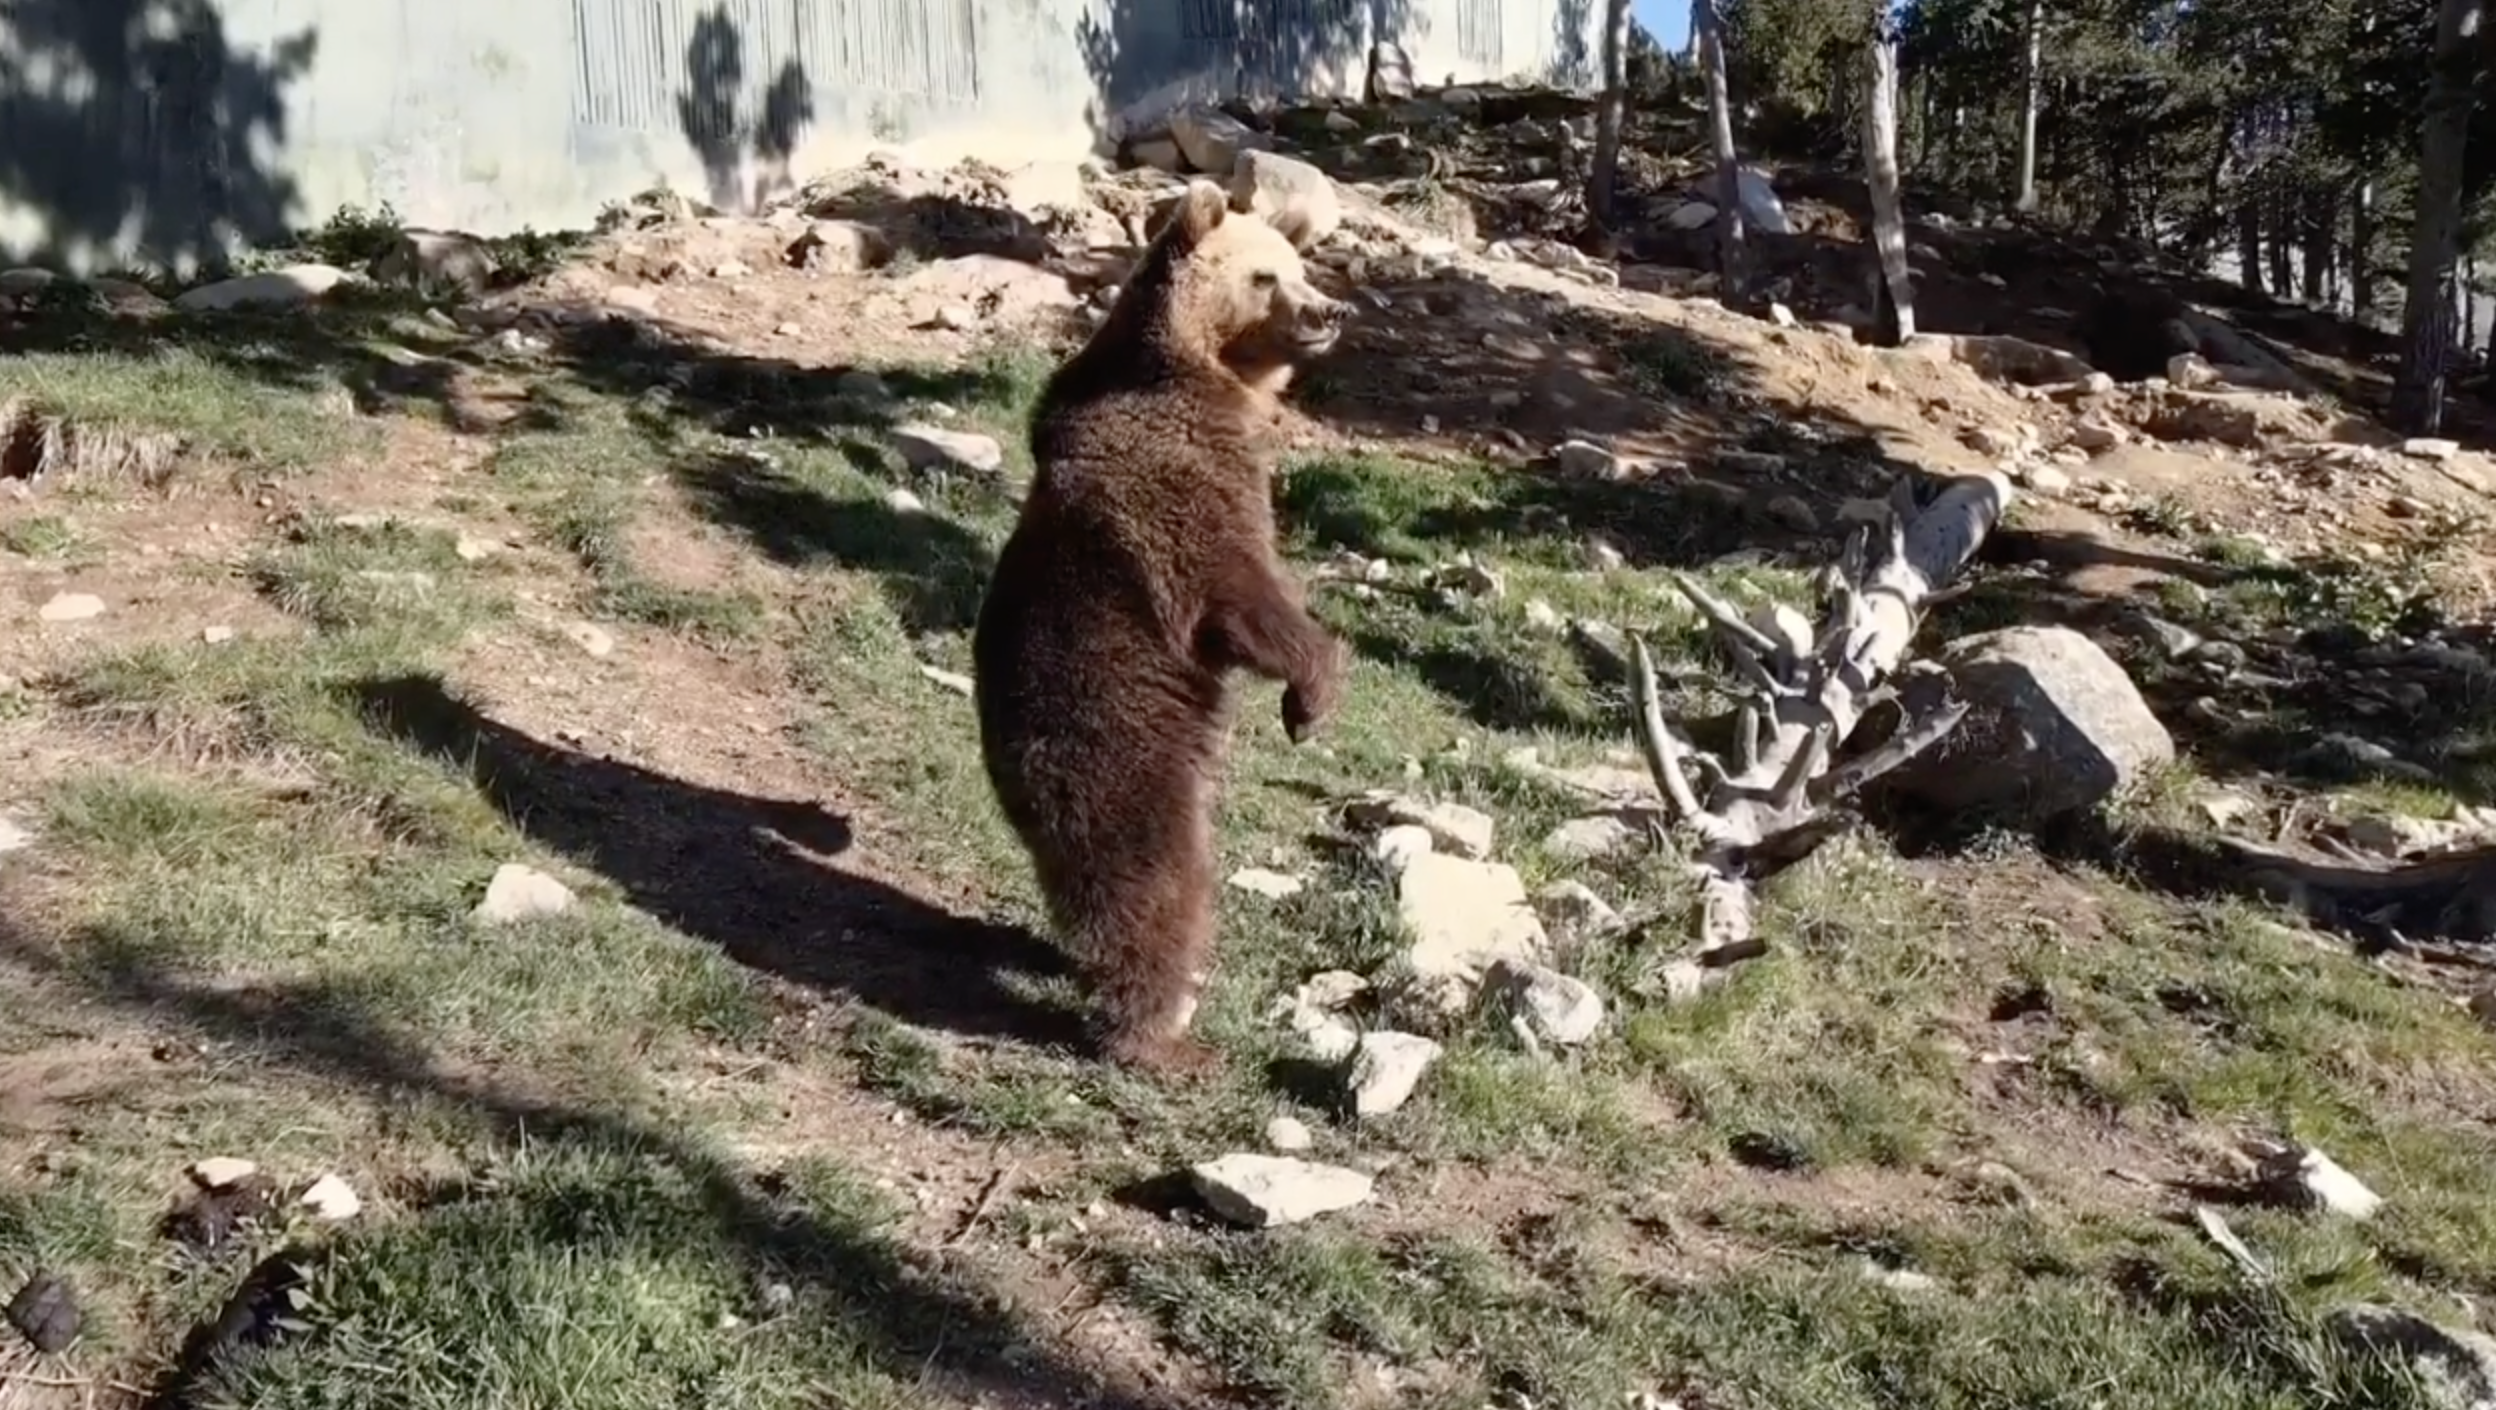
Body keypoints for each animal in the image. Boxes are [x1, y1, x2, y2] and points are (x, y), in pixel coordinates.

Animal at [973, 180, 1357, 1073]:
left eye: (1300, 266)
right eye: (1264, 277)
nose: (1328, 311)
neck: (1197, 371)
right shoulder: (1175, 487)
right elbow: (1239, 595)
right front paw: (1310, 698)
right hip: (1123, 749)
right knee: (1154, 886)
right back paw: (1158, 1036)